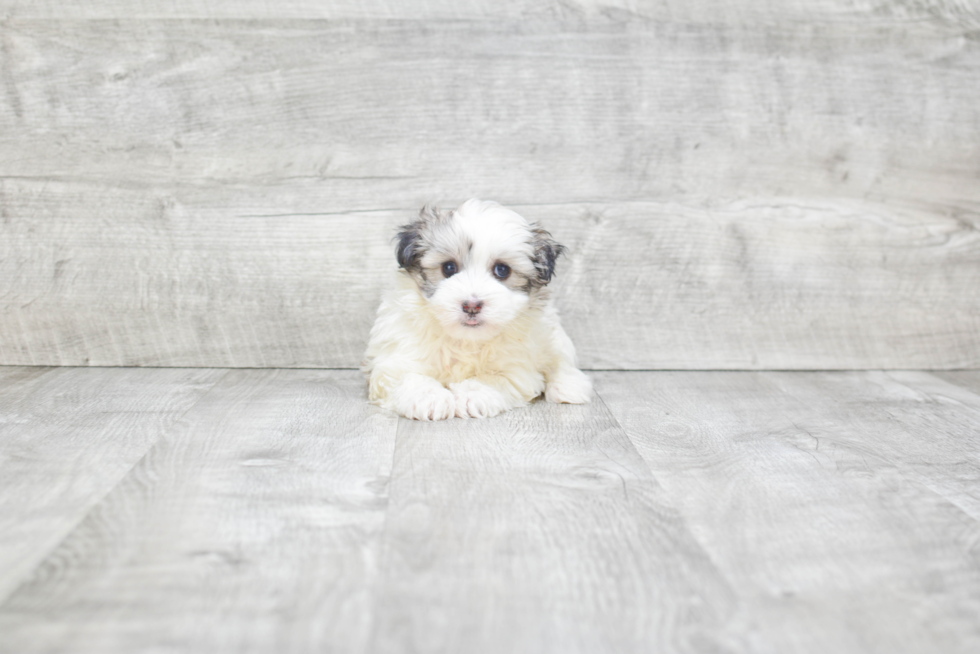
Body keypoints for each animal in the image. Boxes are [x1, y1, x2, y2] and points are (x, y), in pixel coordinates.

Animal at [360, 200, 588, 422]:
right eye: (449, 268)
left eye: (502, 270)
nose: (472, 305)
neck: (465, 340)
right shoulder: (396, 356)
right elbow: (406, 375)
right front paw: (428, 397)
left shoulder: (517, 366)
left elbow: (495, 378)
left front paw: (473, 394)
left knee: (560, 359)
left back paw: (568, 386)